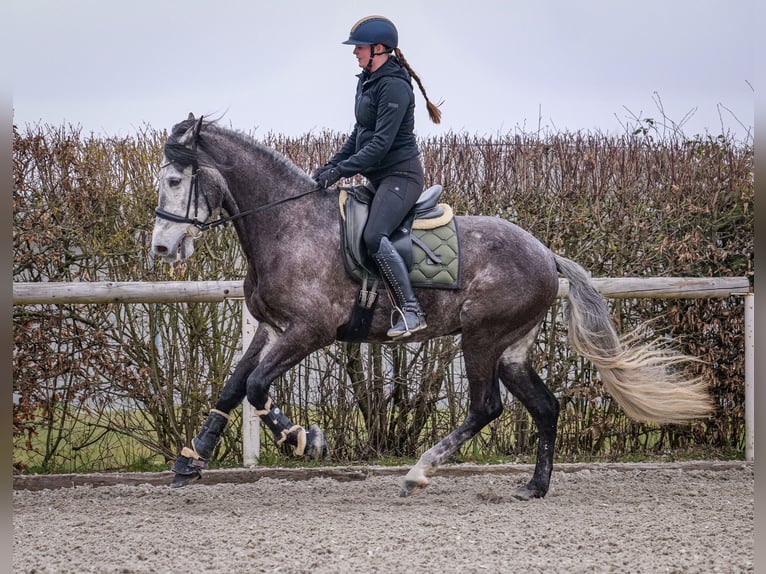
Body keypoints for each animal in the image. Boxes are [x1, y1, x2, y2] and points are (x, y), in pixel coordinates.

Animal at [150, 113, 712, 500]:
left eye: (175, 181)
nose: (161, 248)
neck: (288, 226)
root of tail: (545, 253)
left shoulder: (309, 330)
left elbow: (256, 386)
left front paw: (304, 439)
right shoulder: (272, 328)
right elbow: (233, 386)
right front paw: (191, 460)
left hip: (481, 338)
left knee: (486, 408)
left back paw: (420, 471)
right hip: (511, 349)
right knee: (545, 407)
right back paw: (534, 487)